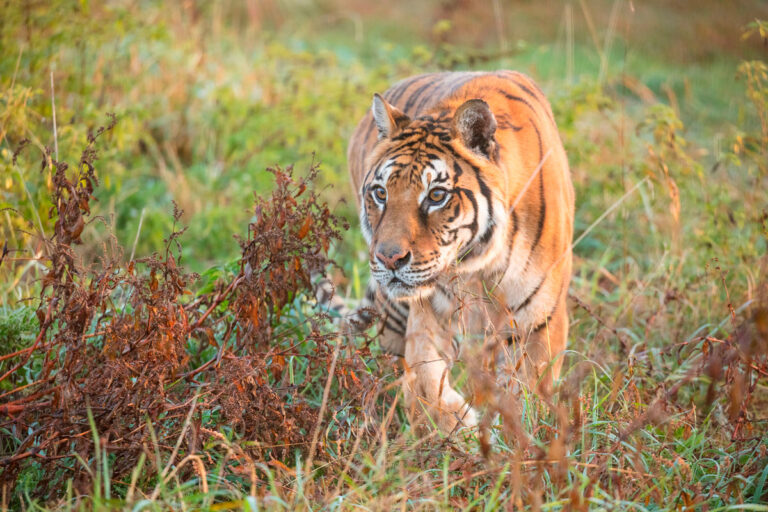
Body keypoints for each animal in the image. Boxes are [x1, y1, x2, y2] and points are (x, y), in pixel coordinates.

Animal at [346, 71, 574, 433]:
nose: (389, 258)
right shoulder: (428, 311)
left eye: (436, 195)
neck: (479, 265)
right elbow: (425, 379)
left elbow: (528, 394)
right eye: (381, 193)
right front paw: (454, 424)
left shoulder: (538, 320)